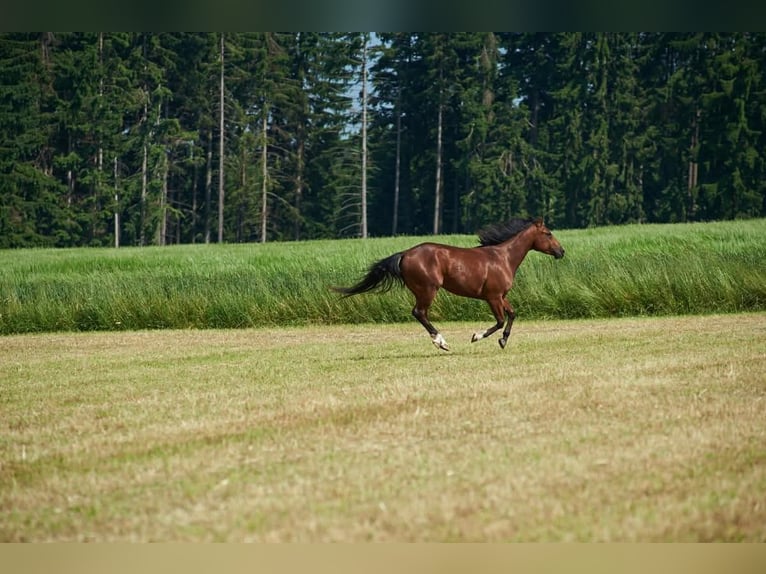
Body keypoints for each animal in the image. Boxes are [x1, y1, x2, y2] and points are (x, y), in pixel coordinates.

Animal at [332, 217, 565, 351]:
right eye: (548, 233)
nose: (561, 251)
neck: (503, 258)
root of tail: (405, 254)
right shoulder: (492, 297)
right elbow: (499, 321)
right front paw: (476, 336)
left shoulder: (501, 296)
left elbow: (512, 314)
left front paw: (503, 341)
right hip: (428, 289)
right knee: (419, 313)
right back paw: (441, 342)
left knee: (419, 313)